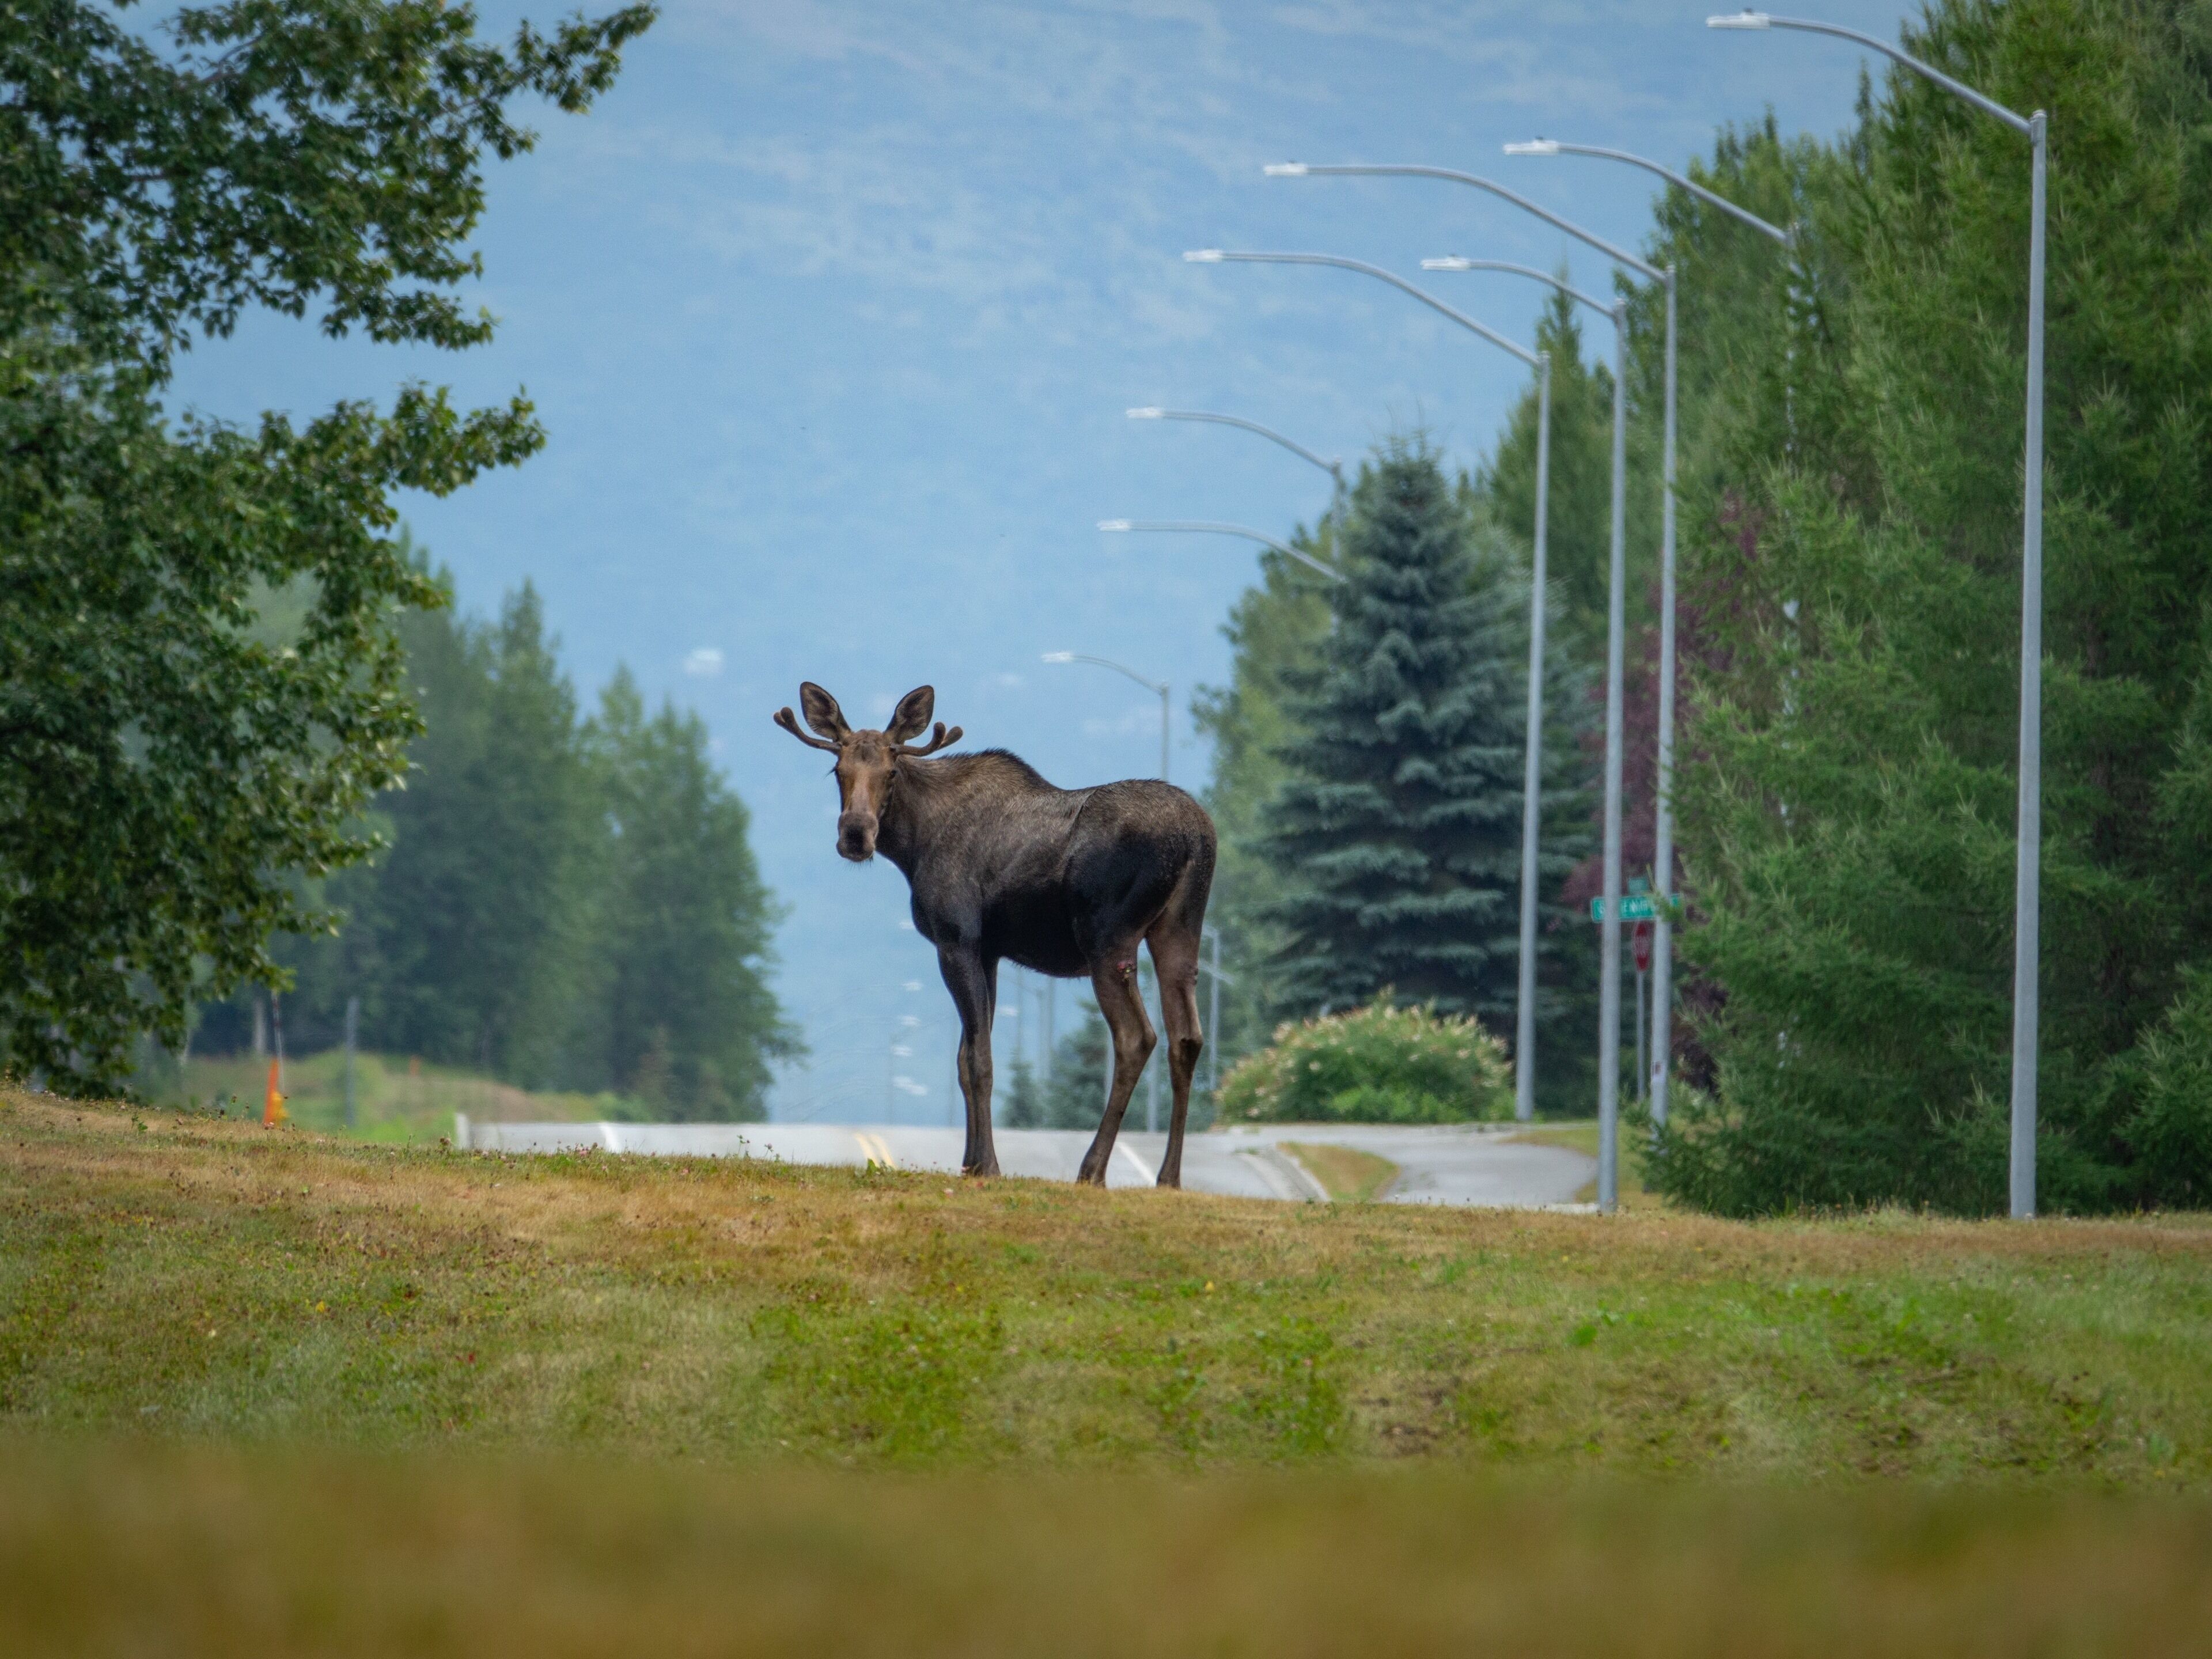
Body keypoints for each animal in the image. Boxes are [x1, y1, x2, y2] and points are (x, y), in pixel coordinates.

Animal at [775, 682, 1215, 1186]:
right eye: (838, 769)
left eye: (891, 771)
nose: (855, 834)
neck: (913, 844)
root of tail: (1197, 838)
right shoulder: (988, 952)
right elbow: (965, 1059)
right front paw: (969, 1161)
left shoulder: (956, 939)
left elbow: (979, 1060)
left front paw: (988, 1165)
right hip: (1180, 929)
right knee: (1187, 1038)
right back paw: (1169, 1178)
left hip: (1108, 939)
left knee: (1136, 1037)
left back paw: (1092, 1170)